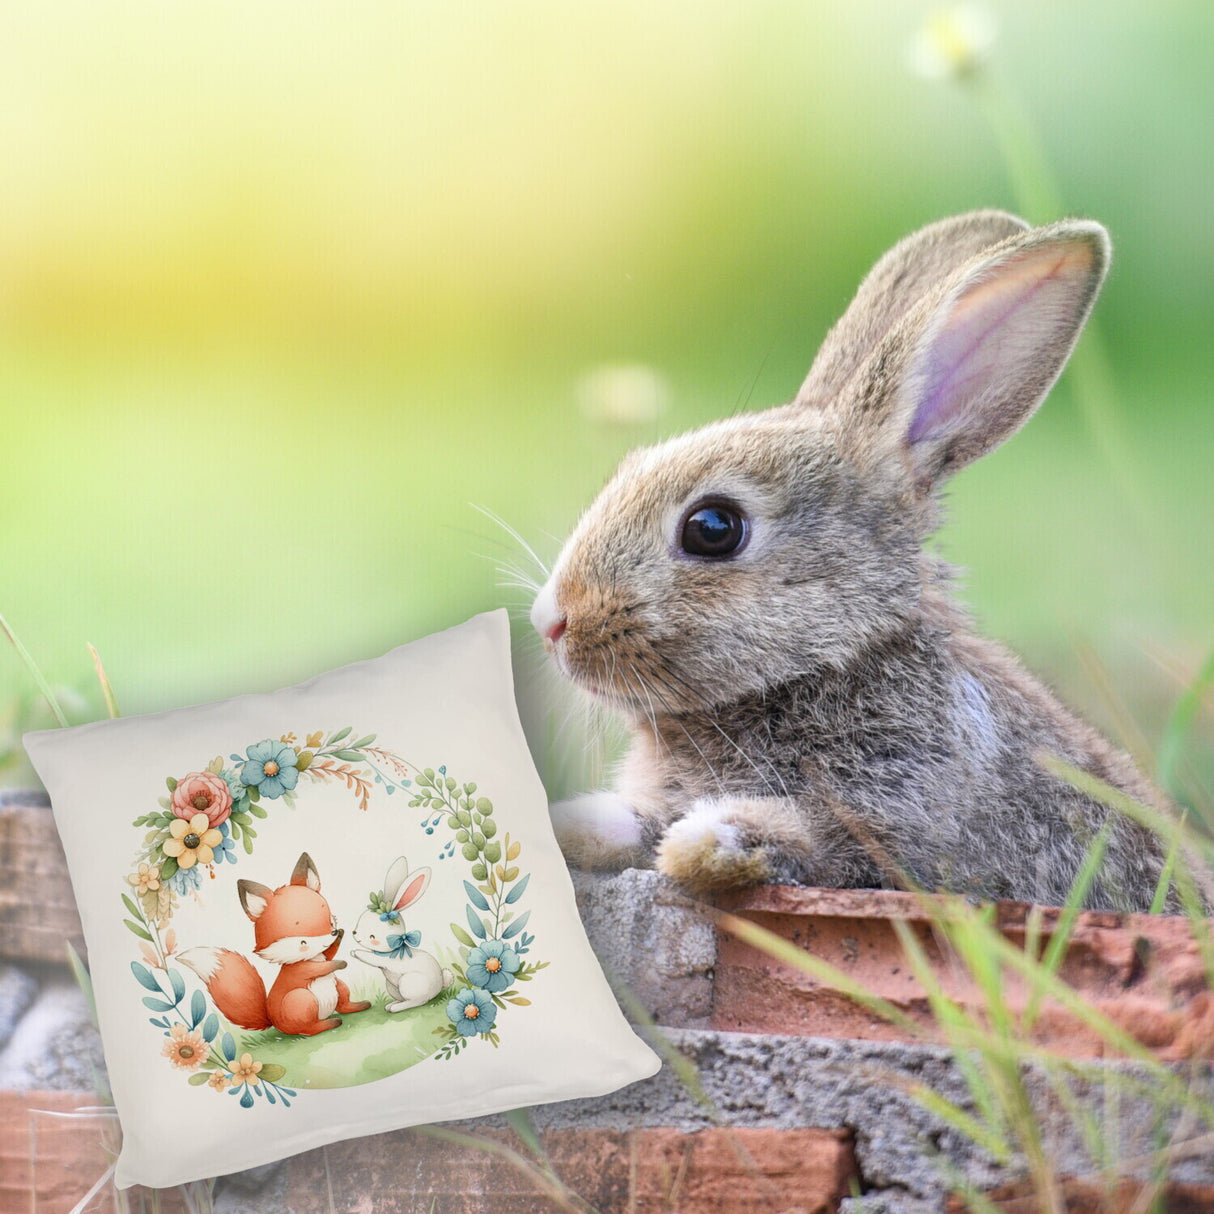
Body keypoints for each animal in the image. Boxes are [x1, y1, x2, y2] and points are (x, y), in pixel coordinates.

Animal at [179, 852, 371, 1037]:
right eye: (303, 942)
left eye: (331, 922)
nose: (333, 932)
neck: (313, 956)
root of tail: (272, 1021)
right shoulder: (300, 969)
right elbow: (320, 967)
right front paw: (340, 963)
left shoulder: (323, 954)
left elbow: (329, 954)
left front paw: (340, 936)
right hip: (302, 1000)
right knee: (309, 1029)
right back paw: (330, 1023)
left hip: (339, 986)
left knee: (343, 1005)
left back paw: (359, 1006)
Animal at [351, 857, 453, 1011]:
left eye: (372, 937)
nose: (355, 933)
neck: (392, 950)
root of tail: (440, 984)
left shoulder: (383, 960)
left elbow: (371, 957)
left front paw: (355, 952)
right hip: (392, 987)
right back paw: (391, 1005)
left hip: (408, 983)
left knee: (418, 1001)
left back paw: (396, 1008)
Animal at [530, 209, 1182, 913]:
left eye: (713, 528)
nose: (551, 621)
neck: (828, 663)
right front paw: (566, 825)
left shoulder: (896, 827)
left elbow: (800, 842)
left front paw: (708, 843)